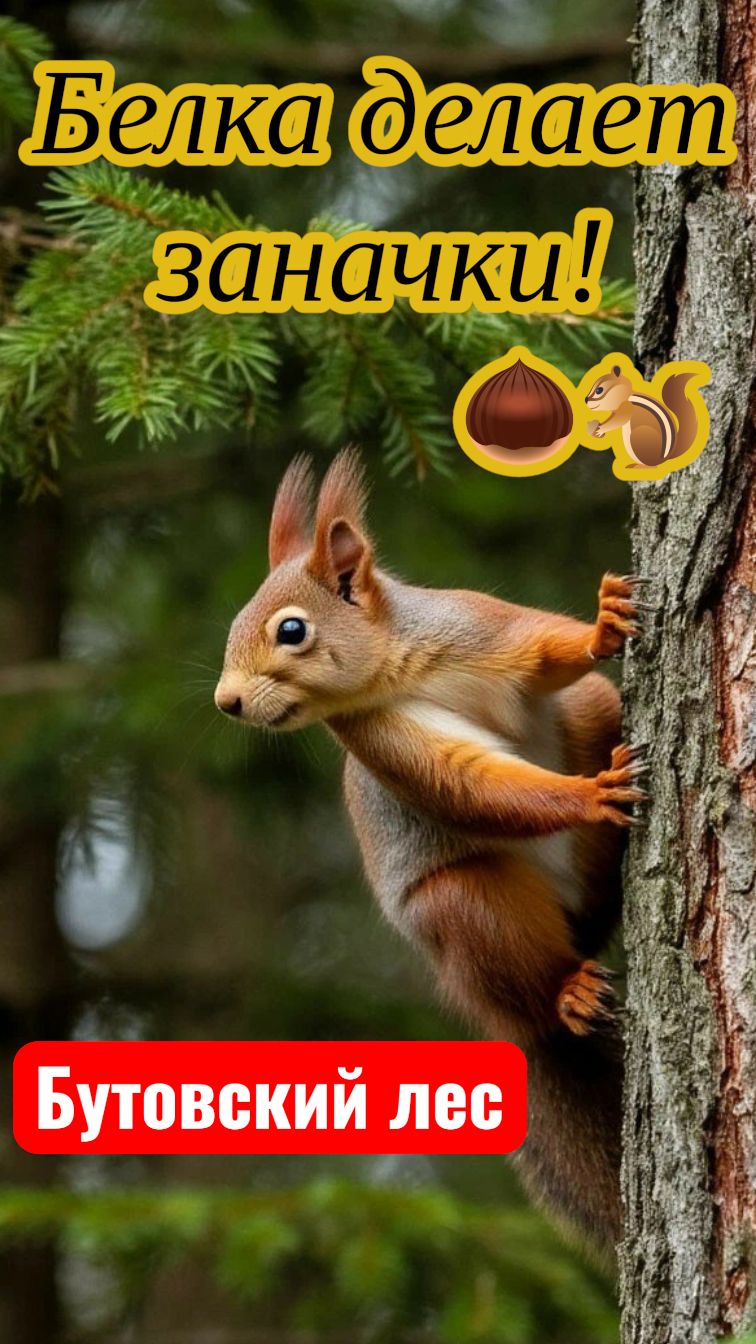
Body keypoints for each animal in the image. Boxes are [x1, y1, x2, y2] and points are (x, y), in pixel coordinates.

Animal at [215, 449, 647, 1257]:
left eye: (291, 630)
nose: (227, 703)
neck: (399, 666)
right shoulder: (381, 737)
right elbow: (469, 786)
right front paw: (590, 796)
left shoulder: (481, 628)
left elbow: (548, 653)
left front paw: (605, 625)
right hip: (467, 910)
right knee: (531, 980)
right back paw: (565, 993)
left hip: (595, 720)